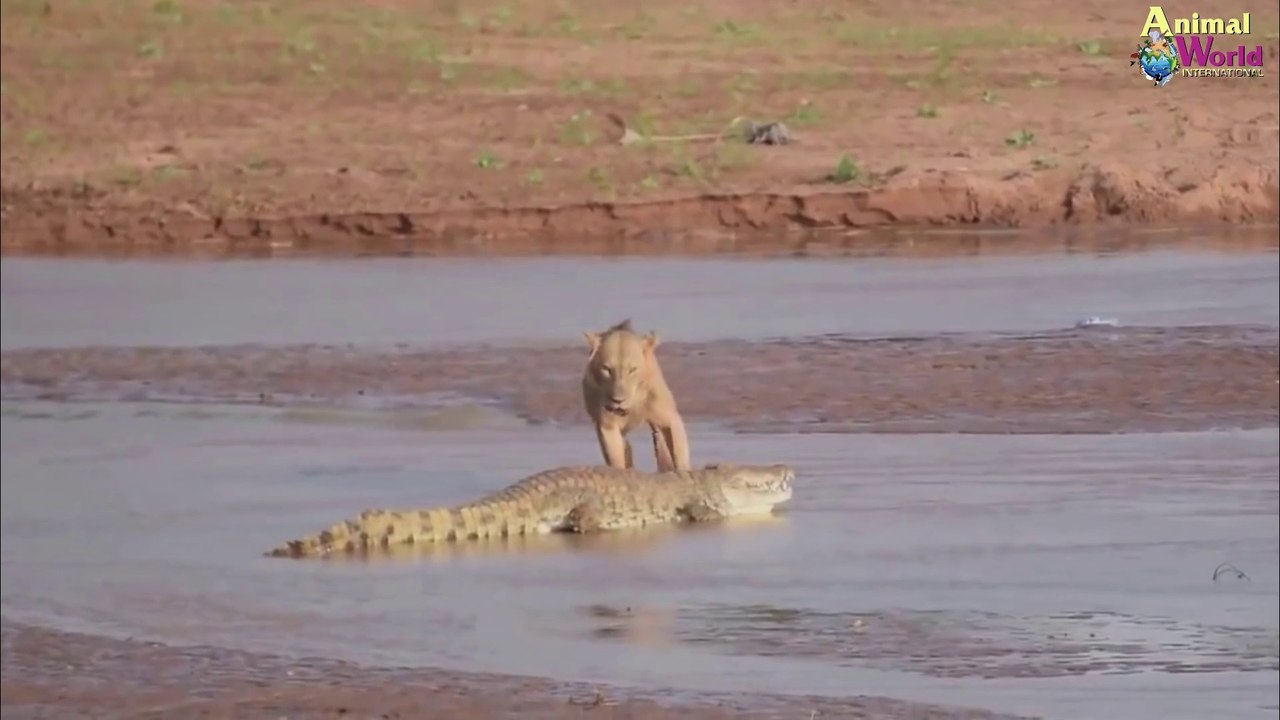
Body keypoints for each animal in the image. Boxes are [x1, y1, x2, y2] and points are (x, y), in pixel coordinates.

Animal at [581, 319, 691, 472]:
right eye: (607, 369)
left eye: (632, 370)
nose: (618, 401)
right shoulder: (607, 425)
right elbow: (616, 458)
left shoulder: (670, 418)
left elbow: (678, 451)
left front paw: (684, 470)